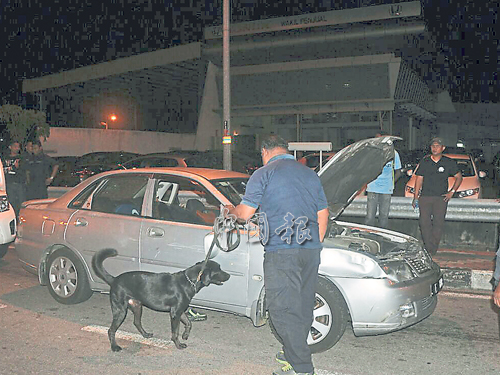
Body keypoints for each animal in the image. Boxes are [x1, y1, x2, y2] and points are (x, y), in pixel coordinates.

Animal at [92, 250, 230, 352]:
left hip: (137, 306)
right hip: (120, 310)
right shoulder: (174, 314)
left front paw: (185, 335)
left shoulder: (180, 311)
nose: (229, 275)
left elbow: (189, 323)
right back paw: (114, 347)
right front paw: (178, 345)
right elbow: (175, 332)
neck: (189, 281)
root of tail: (114, 279)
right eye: (219, 269)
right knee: (111, 330)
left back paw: (145, 335)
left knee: (136, 322)